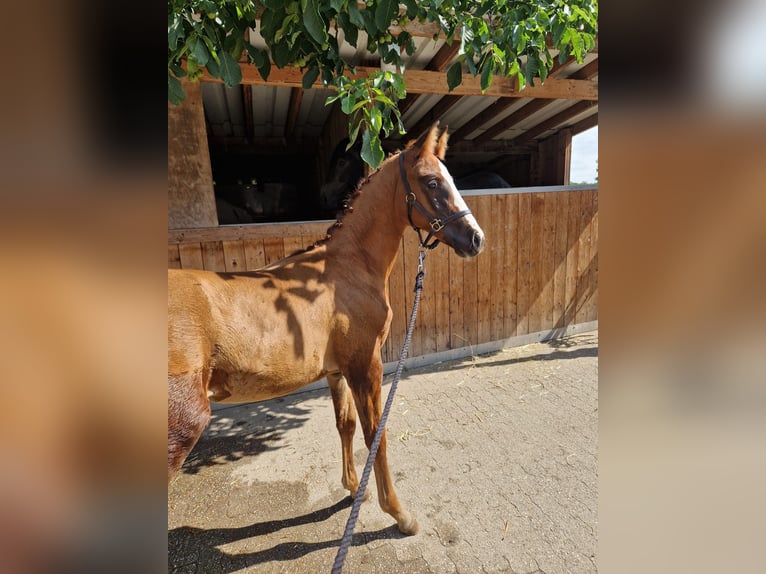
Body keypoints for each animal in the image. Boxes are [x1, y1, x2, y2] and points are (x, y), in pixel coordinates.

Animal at [168, 122, 486, 535]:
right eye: (432, 182)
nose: (476, 239)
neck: (345, 270)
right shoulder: (366, 365)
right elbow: (375, 434)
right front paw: (399, 514)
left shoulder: (337, 371)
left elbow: (345, 425)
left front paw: (353, 489)